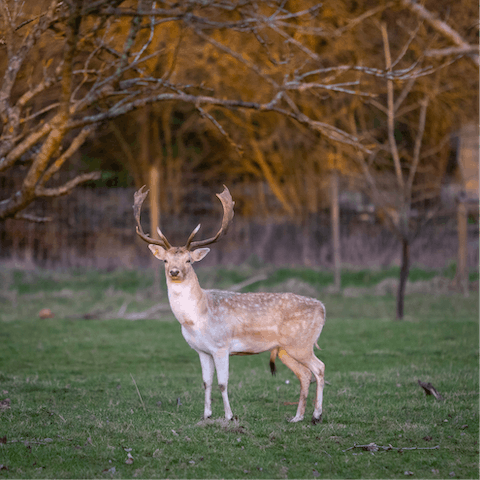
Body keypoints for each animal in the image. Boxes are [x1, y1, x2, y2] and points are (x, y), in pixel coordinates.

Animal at [133, 186, 324, 422]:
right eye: (165, 260)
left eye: (188, 260)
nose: (174, 272)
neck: (197, 317)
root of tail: (322, 308)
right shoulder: (202, 350)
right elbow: (206, 382)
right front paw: (206, 415)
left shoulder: (221, 346)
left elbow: (223, 383)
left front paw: (229, 416)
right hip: (285, 350)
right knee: (305, 374)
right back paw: (296, 417)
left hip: (302, 343)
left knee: (319, 368)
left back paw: (317, 415)